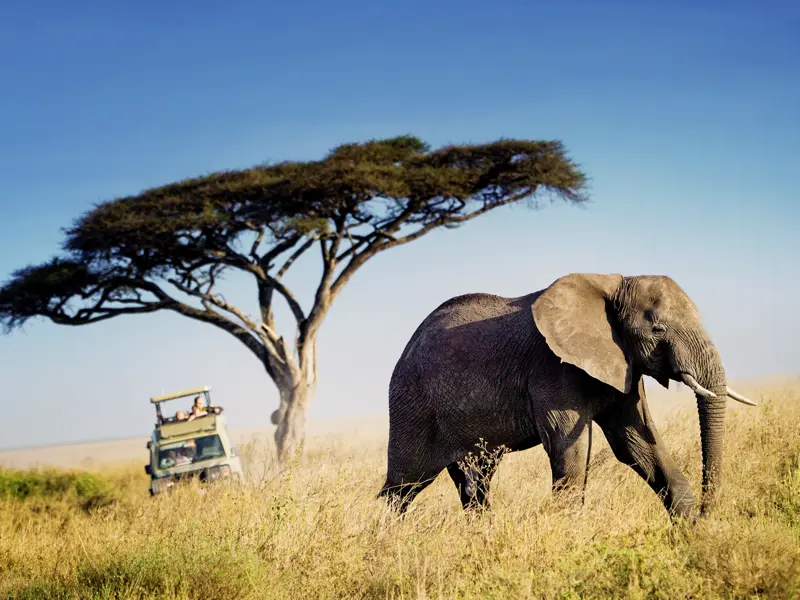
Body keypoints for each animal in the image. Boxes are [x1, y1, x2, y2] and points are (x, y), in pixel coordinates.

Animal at [380, 274, 756, 516]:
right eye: (658, 329)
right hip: (411, 403)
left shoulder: (623, 365)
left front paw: (690, 535)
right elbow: (568, 448)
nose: (709, 513)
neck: (612, 284)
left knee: (475, 485)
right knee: (403, 485)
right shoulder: (552, 368)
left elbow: (637, 443)